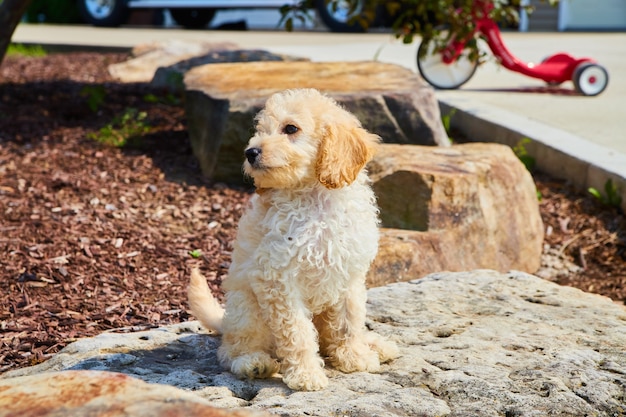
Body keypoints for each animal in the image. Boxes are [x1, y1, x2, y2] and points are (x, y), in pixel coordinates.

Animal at [188, 88, 398, 390]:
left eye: (290, 129)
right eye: (261, 130)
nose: (250, 152)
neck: (315, 199)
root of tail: (224, 322)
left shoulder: (349, 275)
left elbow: (349, 321)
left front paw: (354, 356)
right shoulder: (277, 279)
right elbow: (297, 332)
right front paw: (306, 374)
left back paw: (375, 345)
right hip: (245, 308)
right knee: (232, 349)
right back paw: (253, 362)